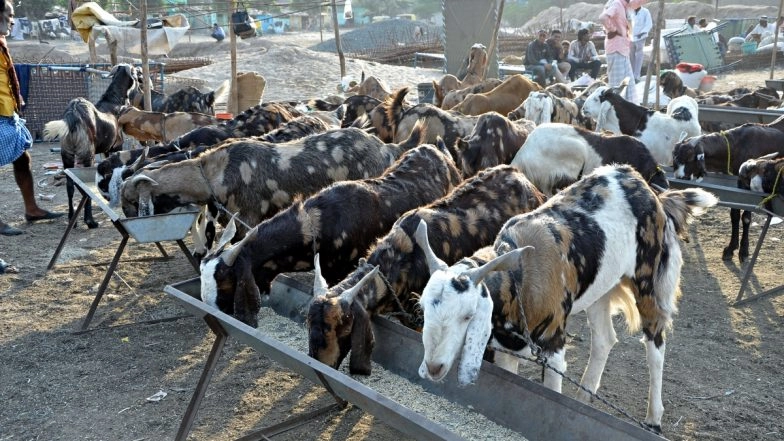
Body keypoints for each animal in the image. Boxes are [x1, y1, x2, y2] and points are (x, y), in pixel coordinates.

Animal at [42, 63, 138, 228]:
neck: (115, 100)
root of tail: (73, 114)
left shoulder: (106, 150)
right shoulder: (116, 146)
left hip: (67, 155)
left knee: (70, 185)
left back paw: (72, 219)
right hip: (87, 155)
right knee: (83, 187)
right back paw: (90, 220)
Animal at [414, 164, 717, 434]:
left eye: (468, 315)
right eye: (424, 309)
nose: (433, 367)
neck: (520, 276)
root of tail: (650, 191)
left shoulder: (554, 345)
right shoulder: (506, 350)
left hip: (649, 280)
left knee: (655, 343)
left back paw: (653, 418)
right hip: (601, 288)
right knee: (605, 339)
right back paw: (584, 401)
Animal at [671, 124, 784, 262]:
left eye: (690, 158)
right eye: (674, 157)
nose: (680, 177)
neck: (737, 145)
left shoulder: (746, 187)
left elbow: (746, 218)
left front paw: (743, 251)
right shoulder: (737, 185)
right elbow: (734, 215)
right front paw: (731, 249)